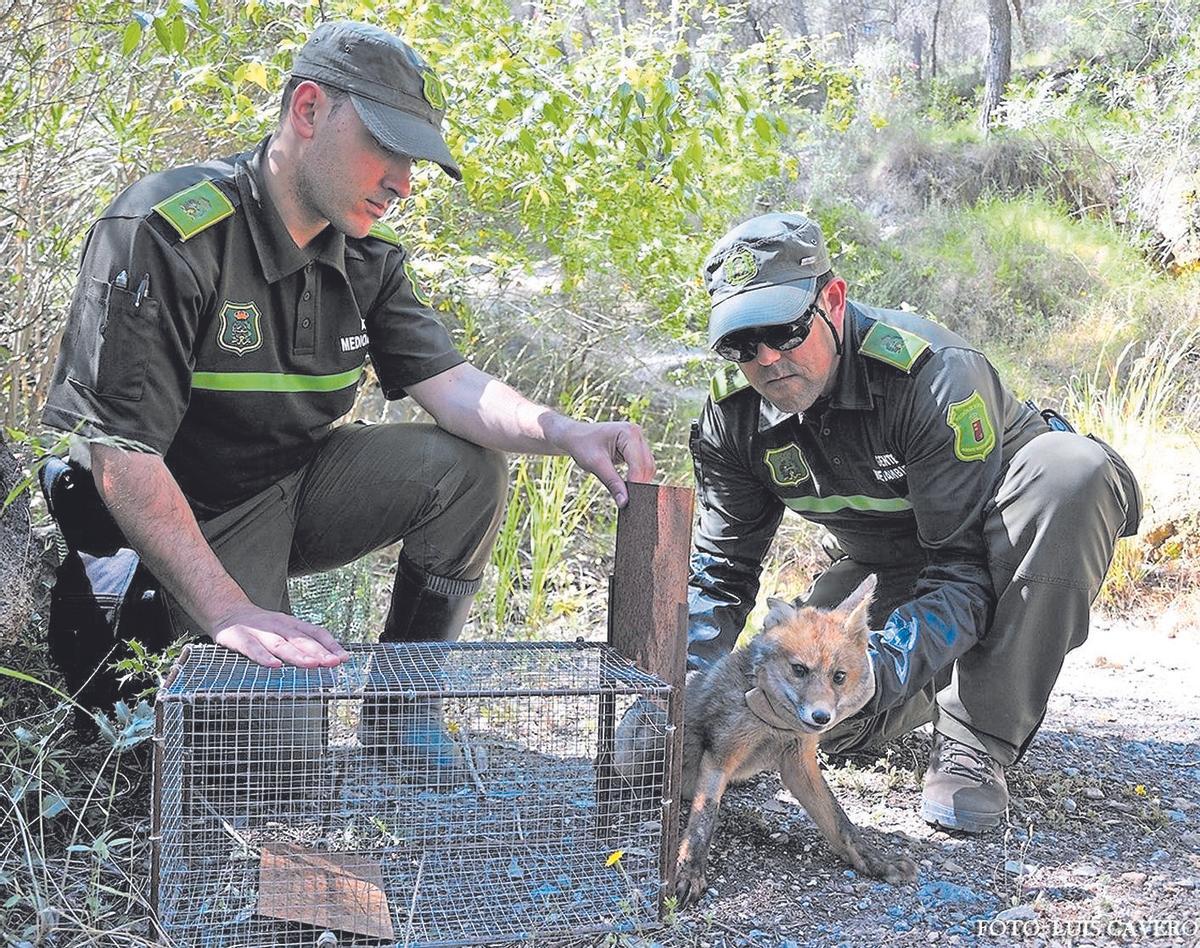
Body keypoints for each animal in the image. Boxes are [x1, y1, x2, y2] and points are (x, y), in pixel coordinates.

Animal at [664, 574, 917, 904]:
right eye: (799, 670)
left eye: (838, 677)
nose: (821, 717)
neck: (776, 729)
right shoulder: (721, 755)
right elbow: (702, 820)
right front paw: (688, 871)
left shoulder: (800, 763)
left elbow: (840, 822)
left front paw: (874, 861)